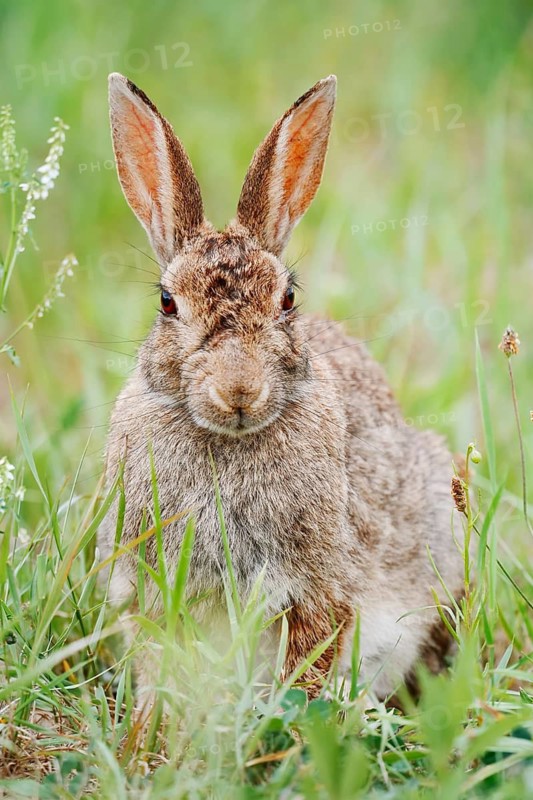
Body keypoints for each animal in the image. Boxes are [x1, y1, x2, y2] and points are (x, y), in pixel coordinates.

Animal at [98, 71, 466, 701]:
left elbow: (310, 659)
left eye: (288, 298)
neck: (229, 442)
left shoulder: (321, 586)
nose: (239, 390)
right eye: (167, 303)